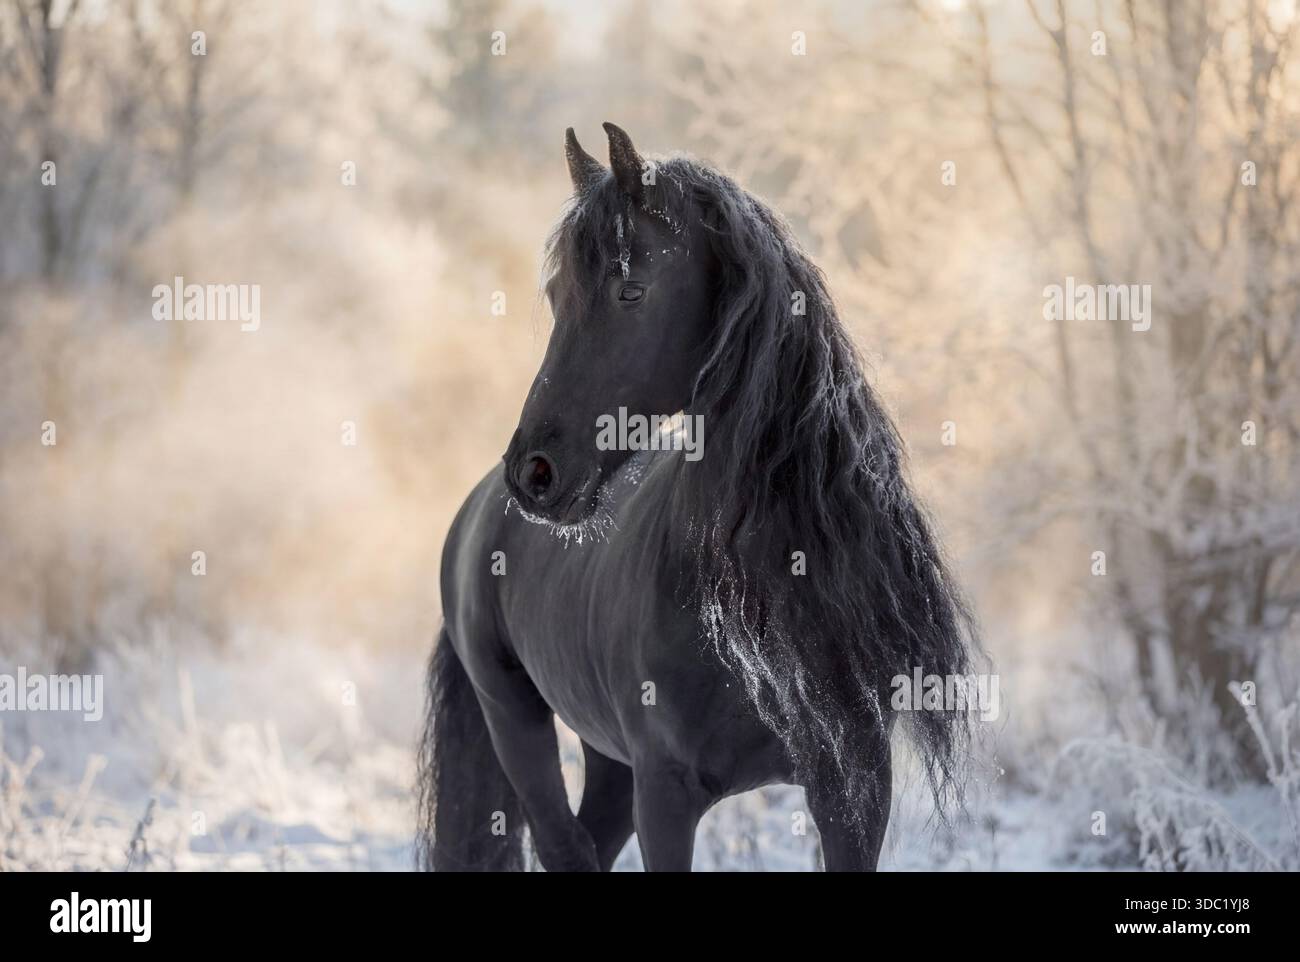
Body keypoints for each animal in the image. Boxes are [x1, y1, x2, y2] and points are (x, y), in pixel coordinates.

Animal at [416, 122, 977, 871]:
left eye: (631, 290)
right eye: (559, 295)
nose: (534, 473)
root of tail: (478, 510)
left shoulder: (855, 792)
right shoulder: (666, 794)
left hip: (607, 760)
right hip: (515, 720)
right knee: (564, 843)